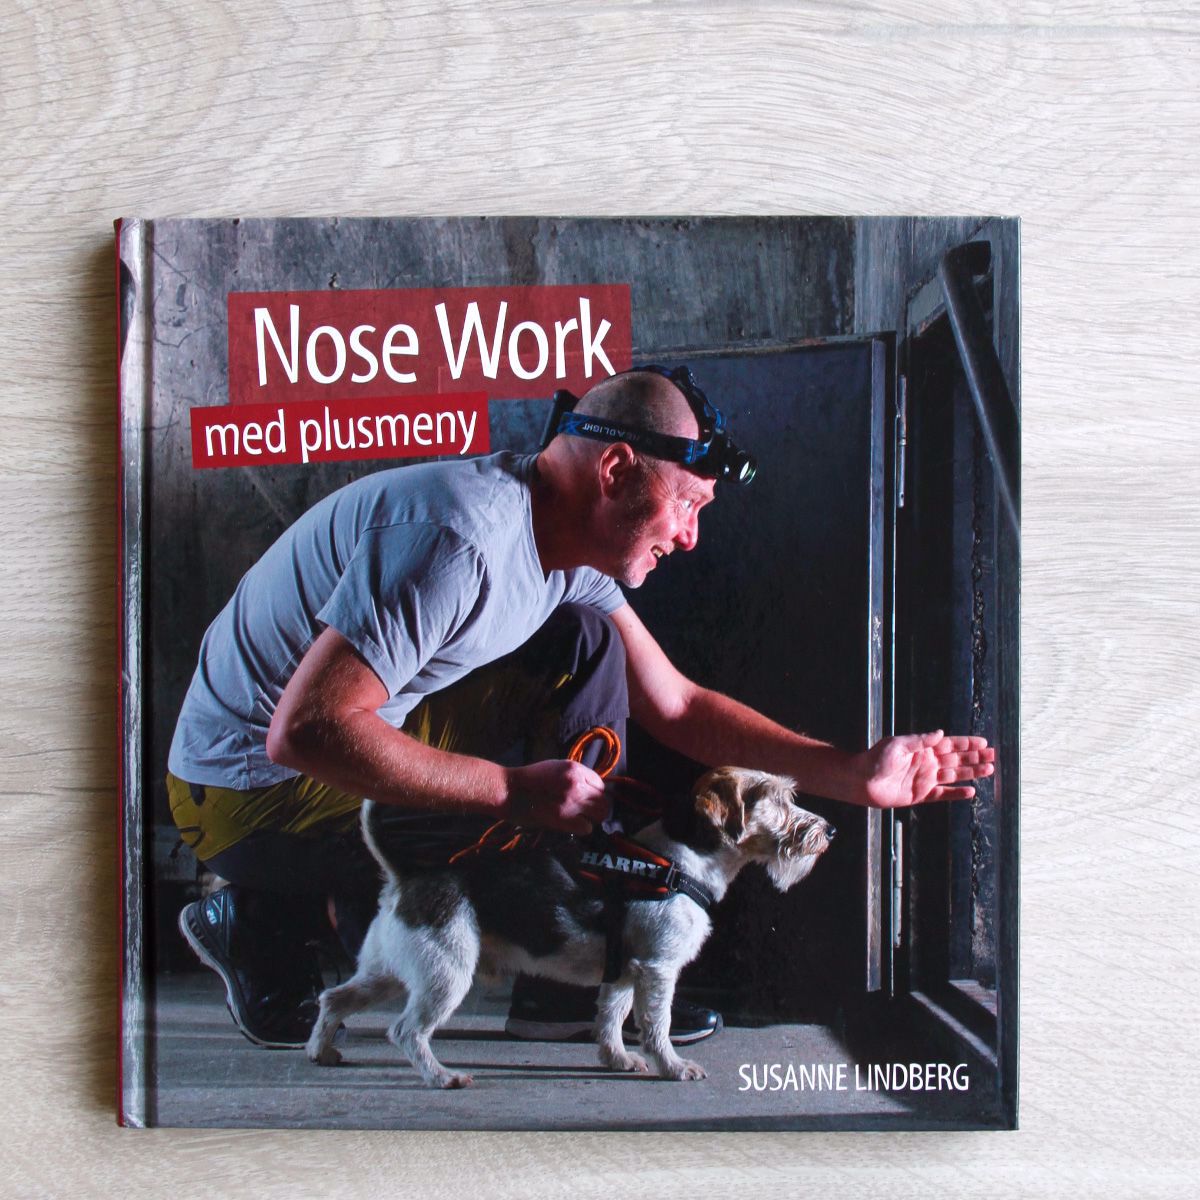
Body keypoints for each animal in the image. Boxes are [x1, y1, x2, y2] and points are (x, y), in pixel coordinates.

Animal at [305, 766, 835, 1087]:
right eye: (777, 799)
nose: (828, 830)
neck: (682, 860)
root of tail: (405, 876)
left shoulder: (624, 975)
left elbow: (612, 1020)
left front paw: (617, 1060)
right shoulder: (658, 970)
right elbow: (656, 1024)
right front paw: (672, 1066)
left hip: (389, 970)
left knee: (333, 998)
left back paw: (320, 1051)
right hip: (445, 976)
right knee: (406, 1030)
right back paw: (441, 1077)